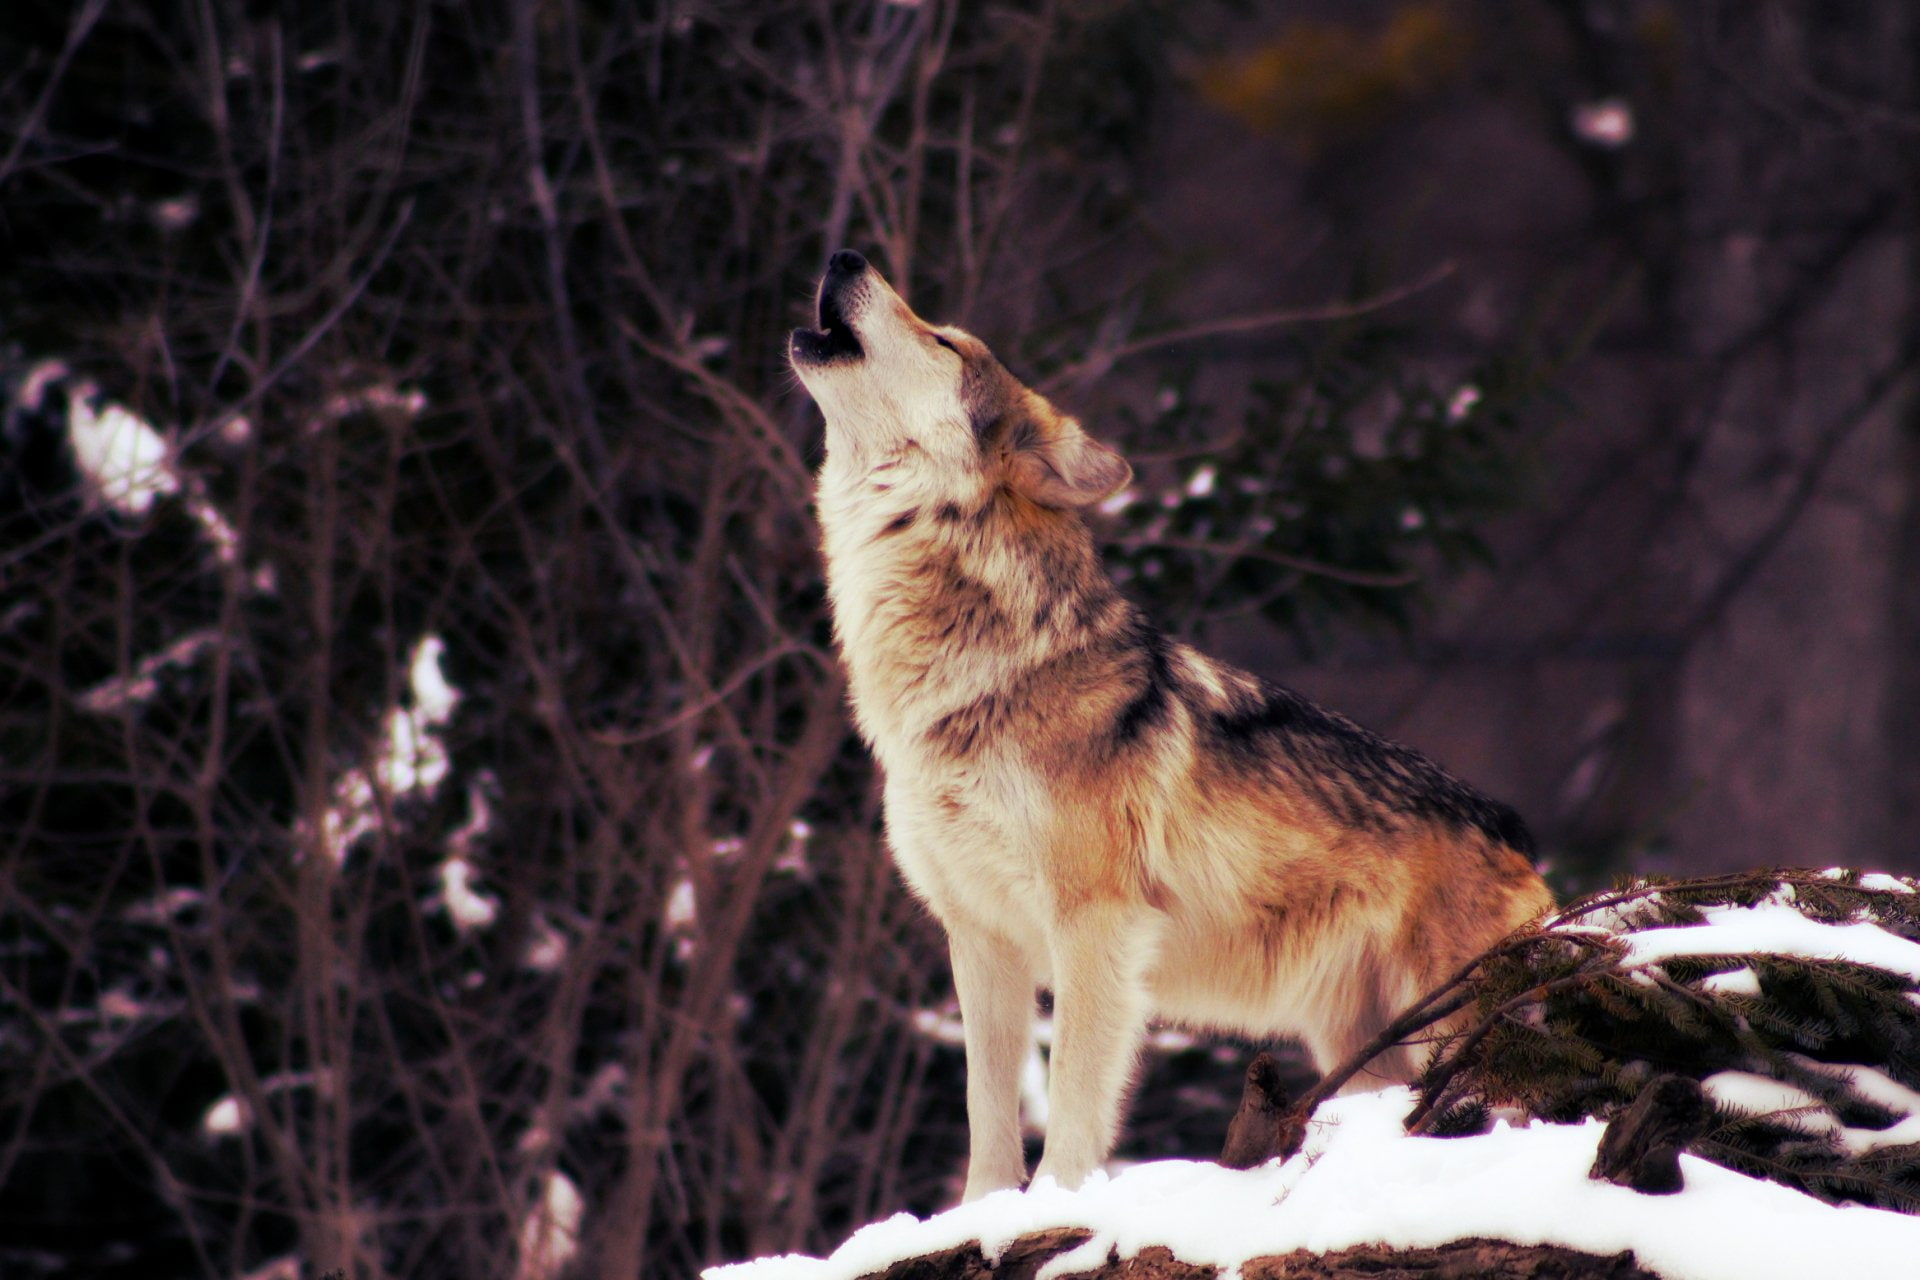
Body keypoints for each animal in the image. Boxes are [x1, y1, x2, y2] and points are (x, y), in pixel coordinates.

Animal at [789, 250, 1552, 1200]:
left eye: (945, 341)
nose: (844, 256)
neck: (977, 675)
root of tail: (1519, 836)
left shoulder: (1096, 925)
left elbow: (1074, 1093)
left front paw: (1055, 1205)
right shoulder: (981, 937)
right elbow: (986, 1109)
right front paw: (983, 1213)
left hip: (1450, 1030)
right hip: (1362, 1048)